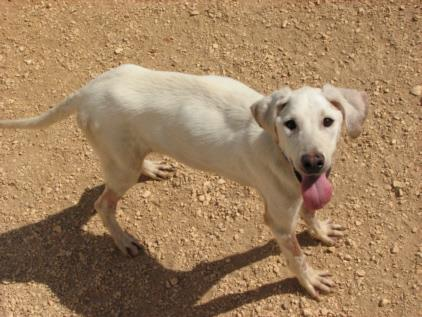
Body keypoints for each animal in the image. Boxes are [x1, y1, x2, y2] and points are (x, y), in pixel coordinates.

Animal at [0, 65, 368, 298]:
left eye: (328, 121)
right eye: (290, 124)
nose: (313, 161)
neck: (274, 146)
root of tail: (88, 90)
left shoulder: (302, 191)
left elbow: (311, 212)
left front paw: (320, 230)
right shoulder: (278, 218)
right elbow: (296, 255)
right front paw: (310, 279)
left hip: (127, 155)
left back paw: (150, 167)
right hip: (121, 169)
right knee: (102, 204)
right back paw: (123, 240)